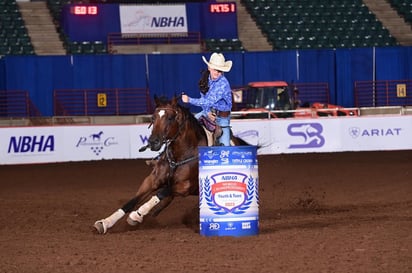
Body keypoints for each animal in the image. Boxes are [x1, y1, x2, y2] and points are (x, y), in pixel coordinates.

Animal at [93, 94, 248, 233]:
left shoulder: (185, 186)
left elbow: (161, 193)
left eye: (170, 118)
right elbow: (131, 202)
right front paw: (105, 222)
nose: (153, 142)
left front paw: (137, 214)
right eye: (153, 118)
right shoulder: (151, 180)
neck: (179, 158)